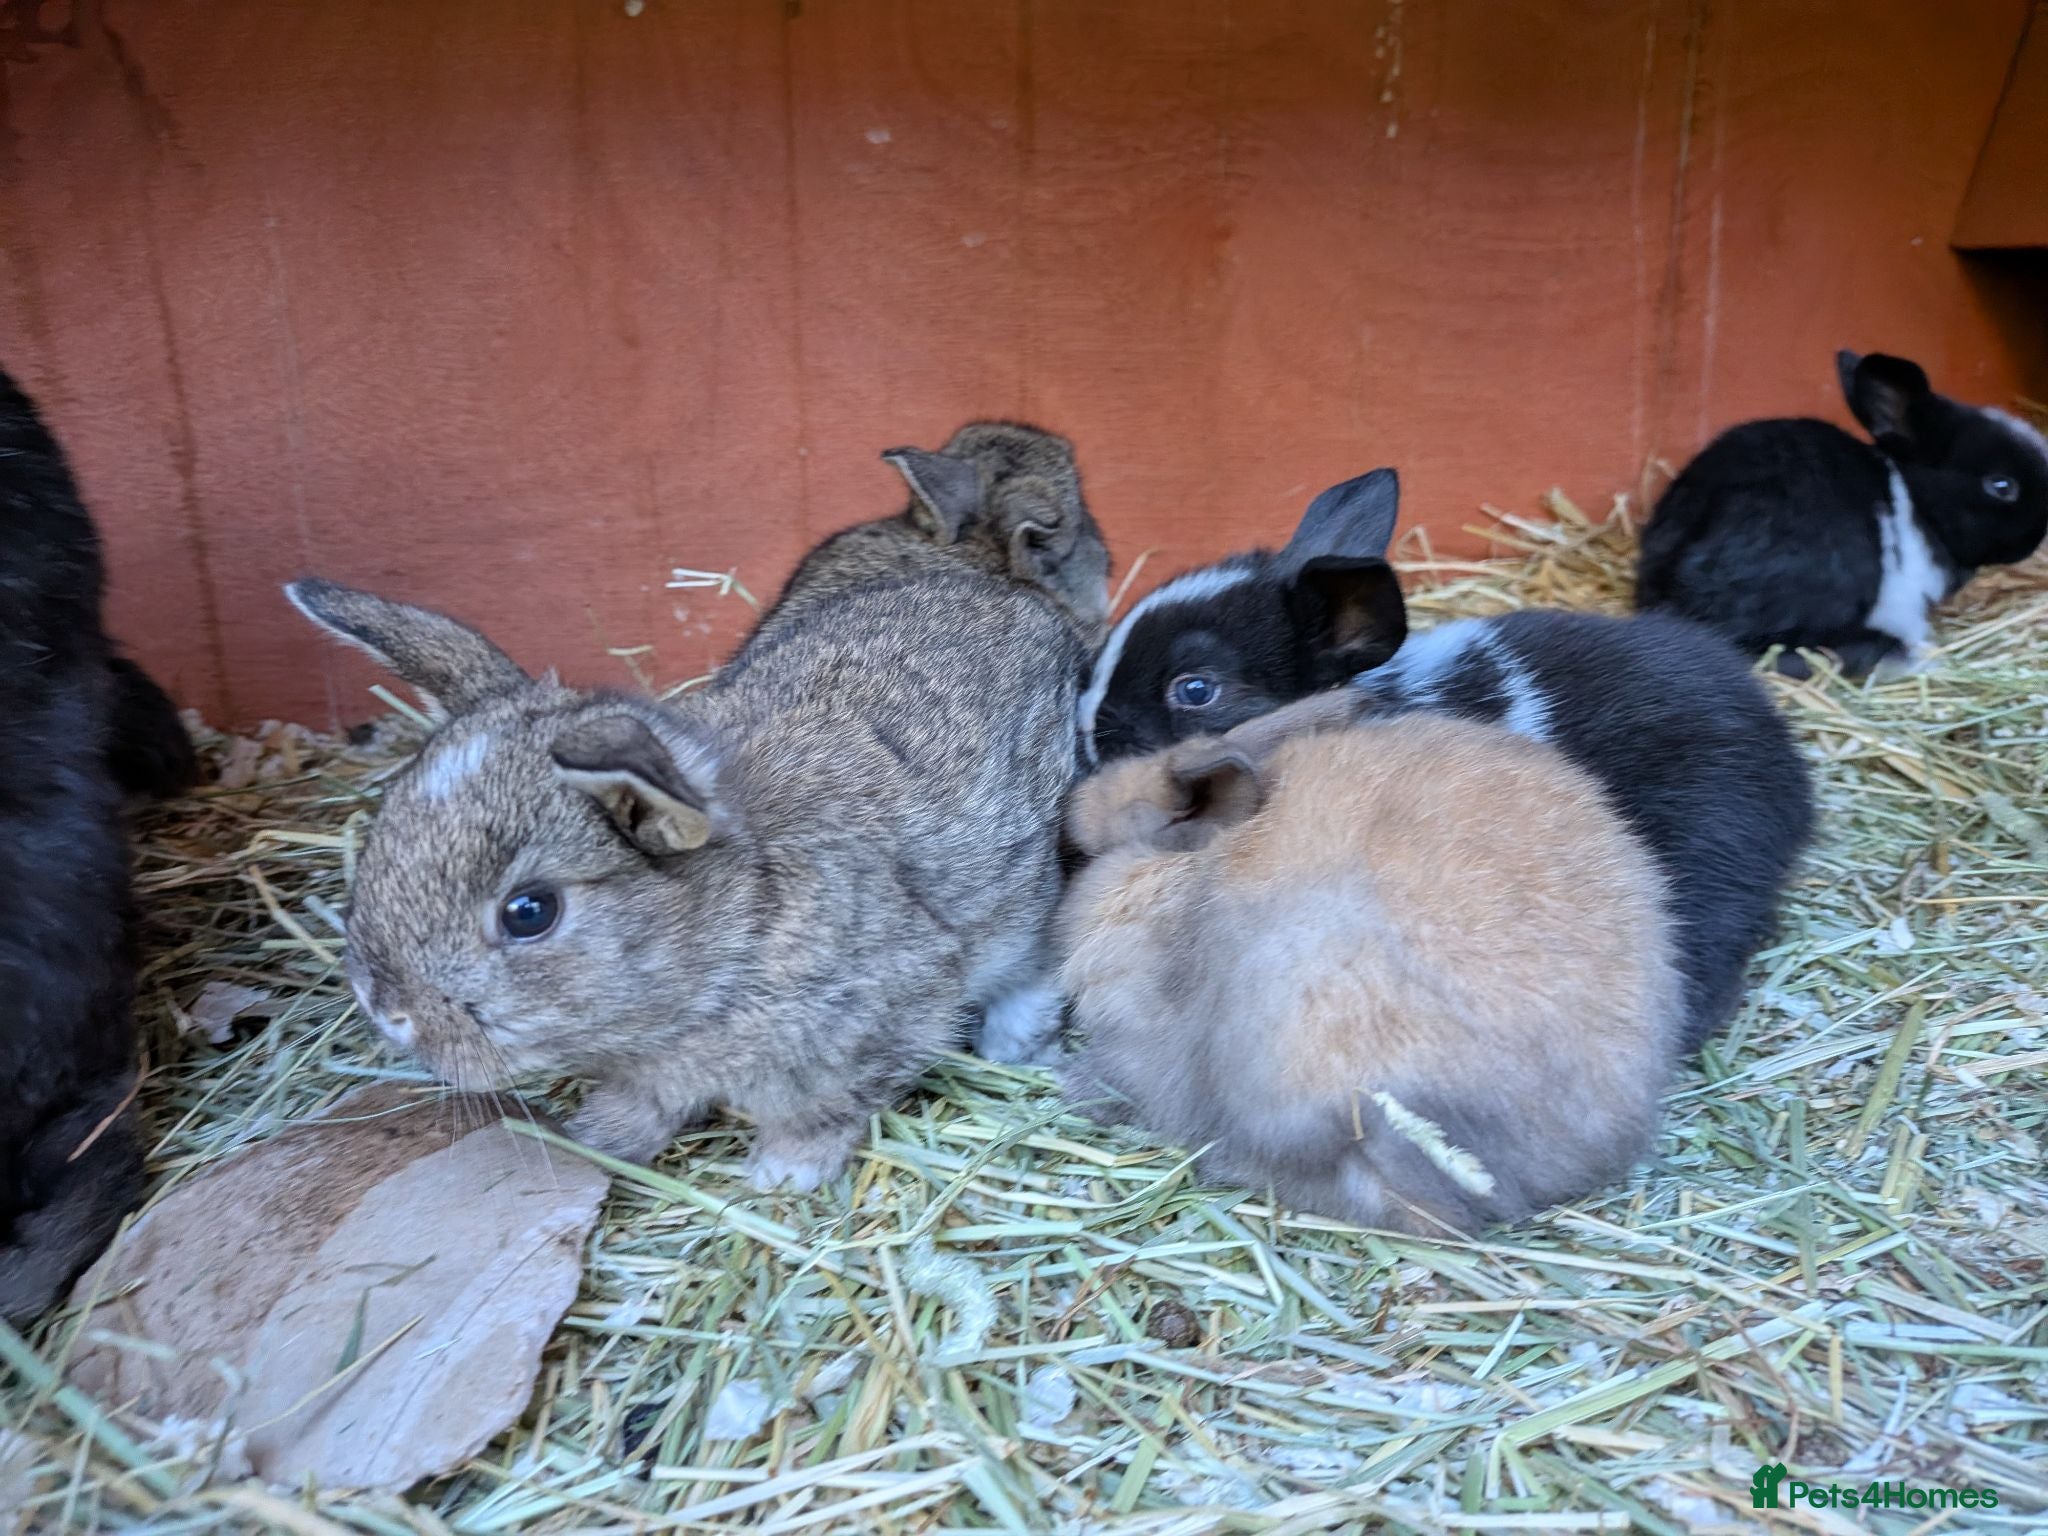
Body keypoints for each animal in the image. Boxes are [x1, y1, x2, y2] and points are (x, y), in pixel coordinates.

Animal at [286, 433, 1105, 1192]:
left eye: (529, 912)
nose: (386, 1011)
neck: (729, 931)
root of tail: (1019, 603)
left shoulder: (887, 1014)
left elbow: (831, 1106)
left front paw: (783, 1174)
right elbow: (640, 1106)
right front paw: (595, 1141)